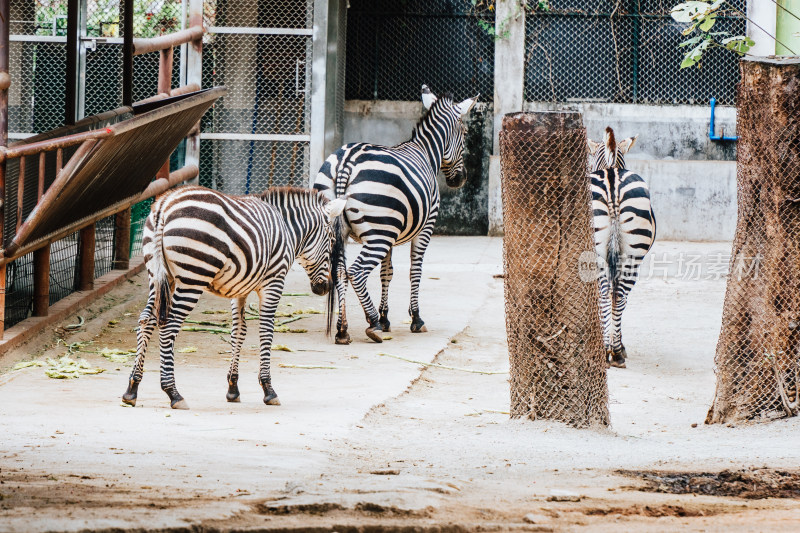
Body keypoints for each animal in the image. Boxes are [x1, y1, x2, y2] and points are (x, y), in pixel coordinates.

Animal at [120, 185, 346, 410]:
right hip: (193, 277)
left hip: (158, 276)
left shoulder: (240, 289)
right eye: (332, 241)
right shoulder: (274, 282)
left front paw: (233, 388)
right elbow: (266, 331)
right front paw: (268, 389)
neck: (287, 229)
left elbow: (239, 332)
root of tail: (165, 205)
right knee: (169, 326)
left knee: (147, 321)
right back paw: (173, 393)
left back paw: (132, 389)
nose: (325, 287)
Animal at [310, 83, 476, 340]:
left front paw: (386, 317)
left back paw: (343, 330)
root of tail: (347, 160)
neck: (426, 153)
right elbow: (415, 270)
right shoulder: (424, 228)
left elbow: (386, 272)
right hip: (378, 234)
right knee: (356, 272)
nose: (460, 180)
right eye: (466, 134)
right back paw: (372, 323)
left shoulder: (391, 232)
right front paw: (415, 318)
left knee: (339, 272)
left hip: (349, 229)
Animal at [588, 127, 656, 368]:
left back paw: (610, 350)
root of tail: (611, 177)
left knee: (607, 293)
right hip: (632, 253)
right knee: (617, 294)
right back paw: (614, 352)